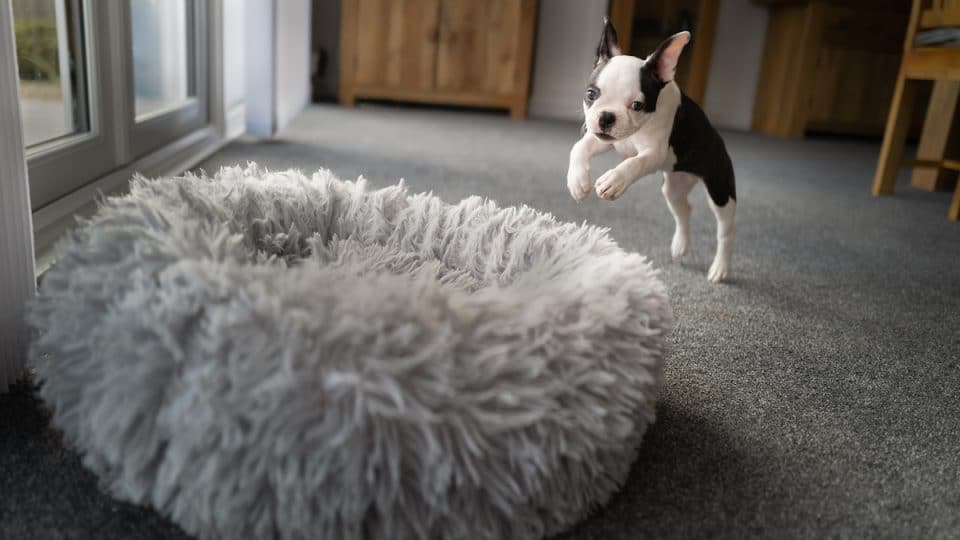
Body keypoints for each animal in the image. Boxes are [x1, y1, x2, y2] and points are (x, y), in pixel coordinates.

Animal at [568, 17, 740, 282]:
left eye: (637, 105)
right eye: (591, 94)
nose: (606, 117)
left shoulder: (654, 153)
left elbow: (634, 162)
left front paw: (613, 181)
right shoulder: (603, 139)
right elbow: (579, 147)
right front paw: (577, 181)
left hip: (720, 188)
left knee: (726, 230)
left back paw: (720, 267)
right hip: (674, 188)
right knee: (684, 209)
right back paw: (680, 244)